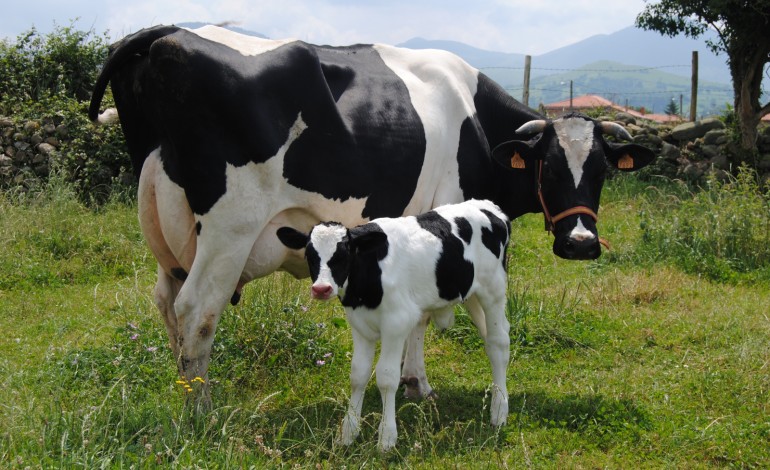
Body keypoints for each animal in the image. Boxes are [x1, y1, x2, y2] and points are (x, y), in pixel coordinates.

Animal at [87, 24, 656, 409]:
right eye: (550, 166)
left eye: (602, 169)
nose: (581, 242)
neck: (478, 124)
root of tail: (172, 33)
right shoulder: (444, 220)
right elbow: (428, 313)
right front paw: (418, 384)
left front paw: (410, 379)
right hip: (231, 226)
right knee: (196, 311)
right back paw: (200, 410)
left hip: (168, 233)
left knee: (167, 304)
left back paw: (183, 391)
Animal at [277, 199, 511, 451]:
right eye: (310, 254)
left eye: (344, 253)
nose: (321, 289)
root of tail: (487, 205)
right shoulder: (359, 325)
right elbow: (358, 375)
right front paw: (348, 432)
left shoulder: (396, 323)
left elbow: (387, 378)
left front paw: (386, 438)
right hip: (472, 294)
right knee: (491, 336)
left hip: (493, 289)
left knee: (498, 344)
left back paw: (499, 411)